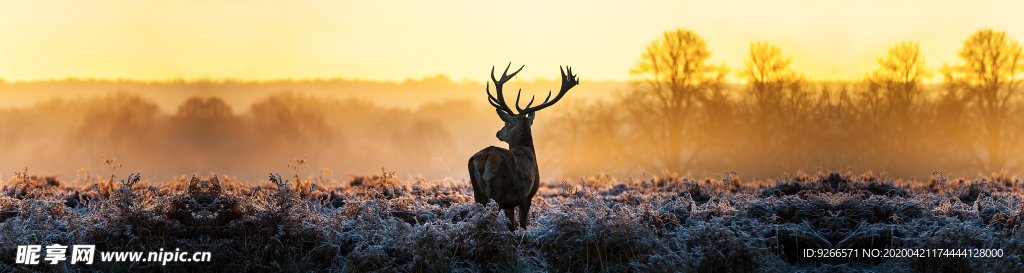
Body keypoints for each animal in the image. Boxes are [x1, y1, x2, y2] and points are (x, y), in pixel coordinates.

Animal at [468, 63, 581, 231]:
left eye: (506, 123)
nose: (498, 133)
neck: (528, 150)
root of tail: (483, 159)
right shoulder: (527, 195)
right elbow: (522, 225)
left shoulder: (510, 204)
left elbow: (512, 227)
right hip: (498, 191)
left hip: (478, 194)